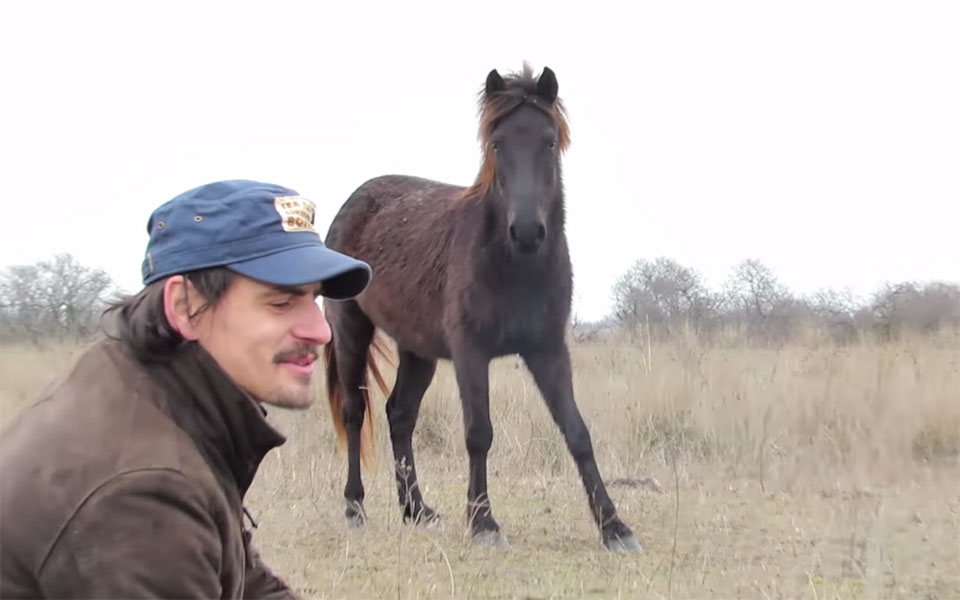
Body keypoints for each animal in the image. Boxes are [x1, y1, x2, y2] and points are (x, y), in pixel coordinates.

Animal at [321, 63, 641, 553]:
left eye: (549, 141)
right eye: (496, 144)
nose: (526, 231)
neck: (514, 266)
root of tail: (354, 202)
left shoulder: (548, 350)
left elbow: (577, 432)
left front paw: (615, 527)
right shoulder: (470, 353)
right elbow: (479, 433)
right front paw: (483, 522)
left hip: (418, 351)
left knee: (400, 416)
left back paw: (417, 510)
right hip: (351, 330)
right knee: (356, 412)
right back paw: (355, 507)